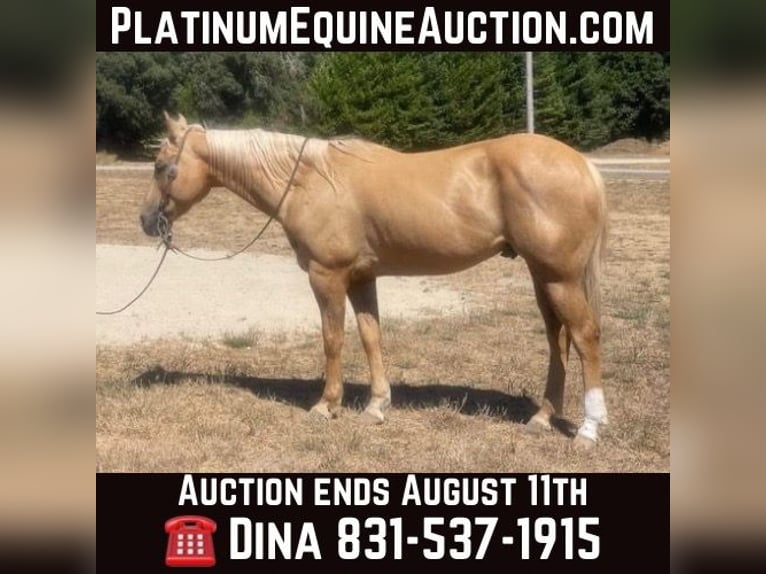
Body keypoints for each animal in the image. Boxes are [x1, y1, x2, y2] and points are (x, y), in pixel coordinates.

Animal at [140, 112, 609, 449]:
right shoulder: (362, 277)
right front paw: (377, 407)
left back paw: (588, 429)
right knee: (558, 339)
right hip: (543, 276)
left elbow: (332, 338)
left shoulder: (326, 276)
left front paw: (326, 406)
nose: (146, 221)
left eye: (162, 167)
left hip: (561, 278)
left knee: (584, 336)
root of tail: (582, 164)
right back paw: (542, 418)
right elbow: (370, 336)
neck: (309, 180)